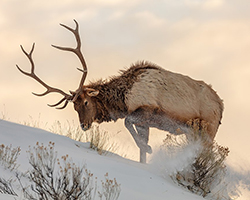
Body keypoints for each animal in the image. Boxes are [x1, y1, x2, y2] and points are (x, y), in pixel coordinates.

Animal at [16, 19, 223, 162]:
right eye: (74, 107)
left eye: (85, 102)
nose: (84, 125)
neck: (123, 99)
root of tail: (221, 105)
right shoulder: (145, 123)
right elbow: (140, 148)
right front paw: (145, 153)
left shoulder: (148, 109)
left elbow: (127, 123)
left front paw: (149, 148)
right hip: (192, 132)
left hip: (208, 129)